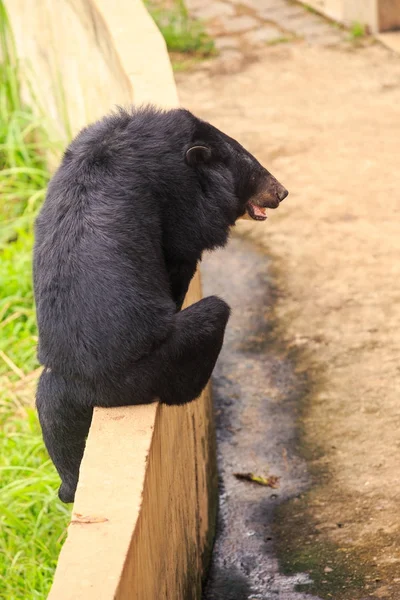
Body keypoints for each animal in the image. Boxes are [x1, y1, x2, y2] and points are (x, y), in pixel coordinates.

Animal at [33, 106, 288, 502]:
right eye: (251, 170)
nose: (282, 192)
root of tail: (92, 383)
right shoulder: (179, 200)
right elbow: (182, 249)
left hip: (60, 393)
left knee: (54, 417)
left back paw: (68, 489)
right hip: (154, 365)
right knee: (213, 315)